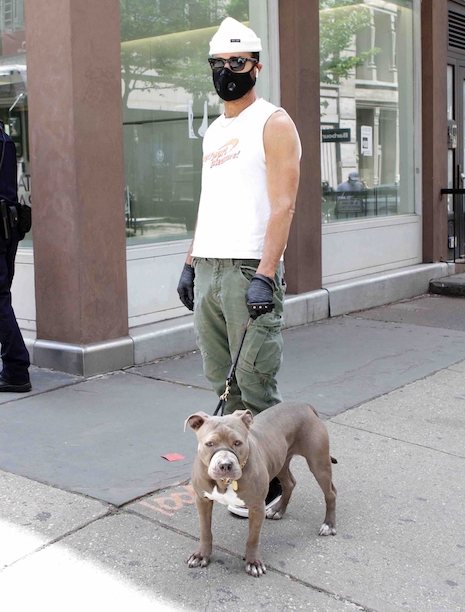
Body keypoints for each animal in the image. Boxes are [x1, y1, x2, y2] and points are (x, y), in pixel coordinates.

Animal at [186, 402, 338, 580]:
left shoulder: (256, 506)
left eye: (238, 442)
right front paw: (201, 555)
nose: (225, 465)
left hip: (318, 463)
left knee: (330, 493)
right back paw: (278, 510)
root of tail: (304, 405)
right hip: (281, 460)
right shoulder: (202, 500)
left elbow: (253, 538)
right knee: (289, 483)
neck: (225, 482)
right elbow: (205, 531)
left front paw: (253, 563)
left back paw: (328, 525)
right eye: (209, 444)